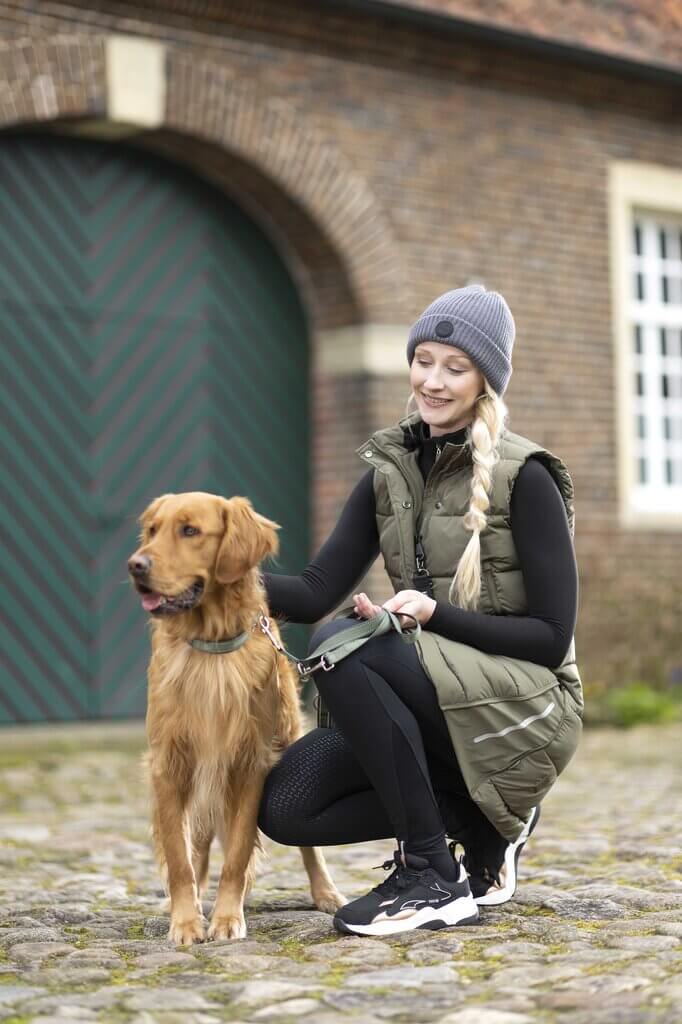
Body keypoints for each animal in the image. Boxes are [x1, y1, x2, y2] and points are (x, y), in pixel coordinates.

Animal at [127, 491, 345, 944]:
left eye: (189, 530)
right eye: (152, 530)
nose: (135, 565)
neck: (210, 649)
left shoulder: (251, 763)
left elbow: (240, 849)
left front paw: (227, 917)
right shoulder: (170, 762)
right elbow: (179, 856)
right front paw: (186, 920)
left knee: (307, 847)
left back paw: (324, 892)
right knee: (198, 844)